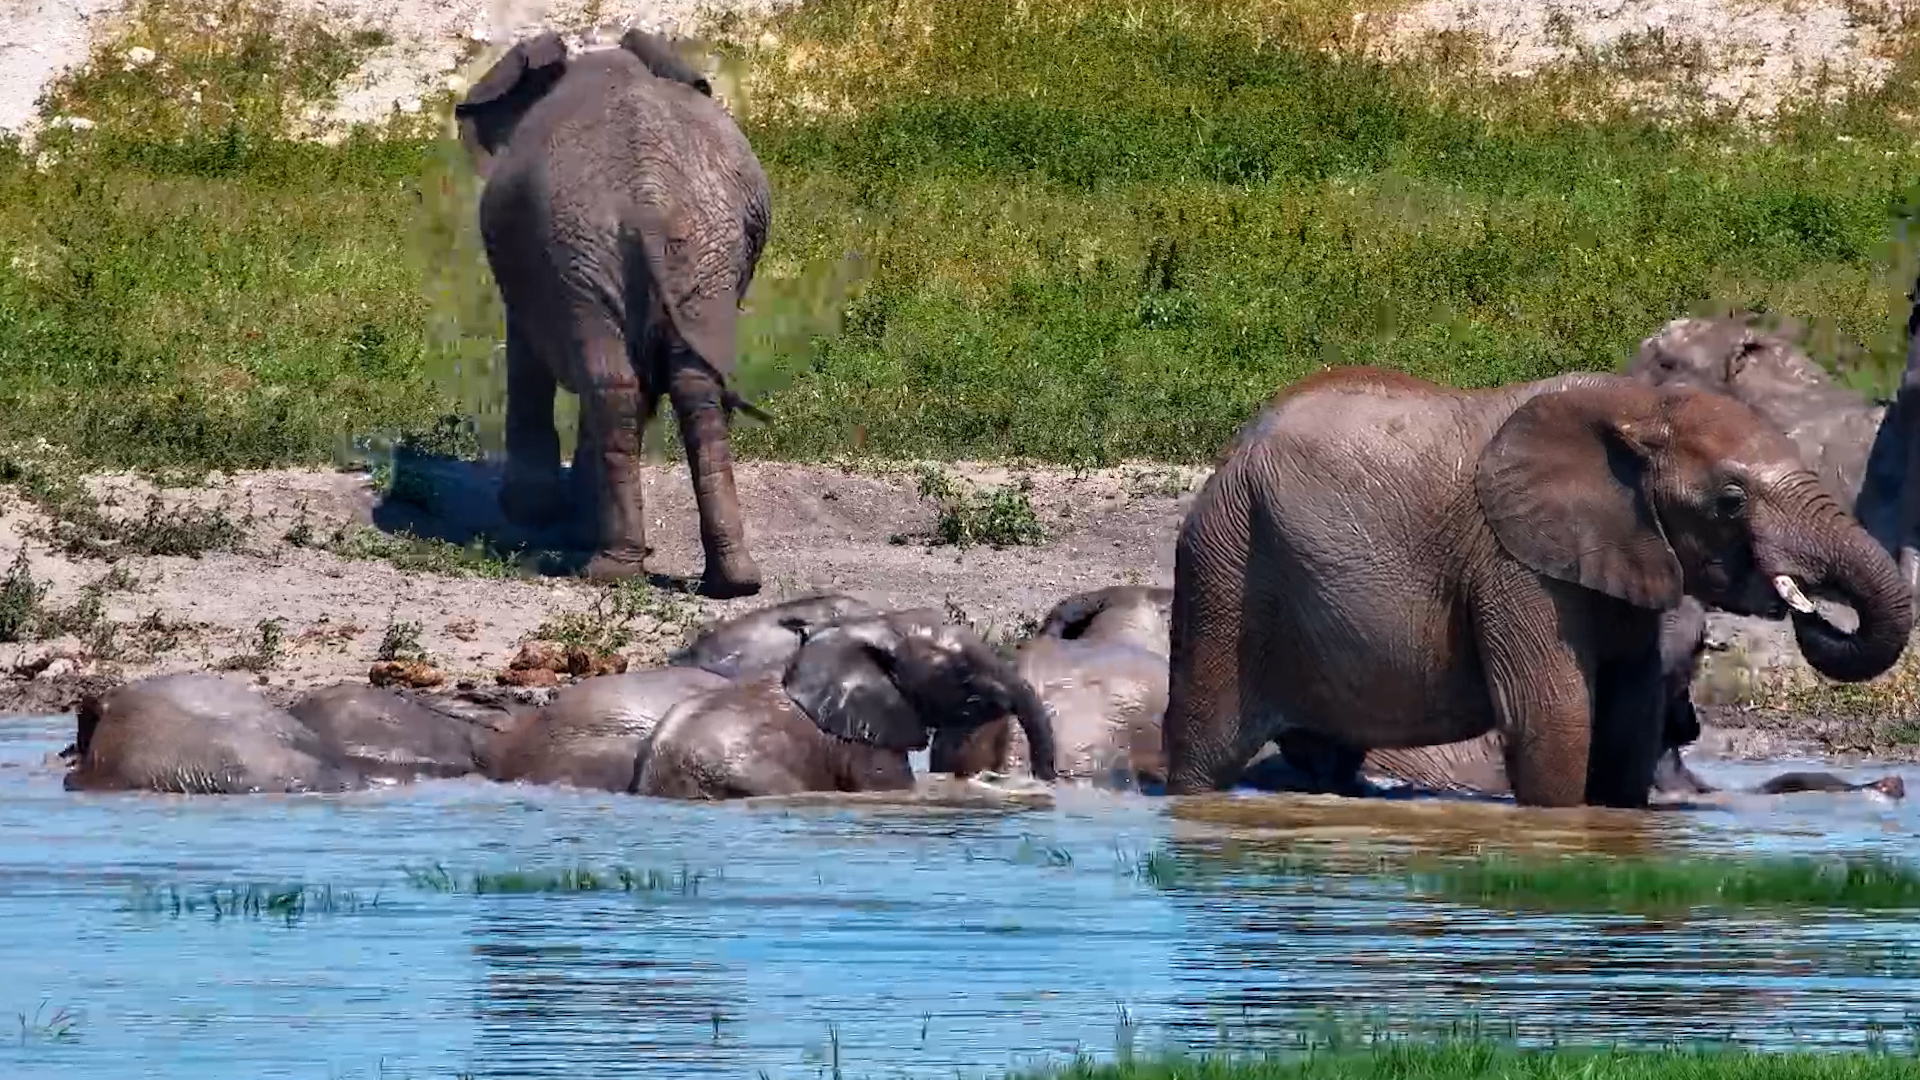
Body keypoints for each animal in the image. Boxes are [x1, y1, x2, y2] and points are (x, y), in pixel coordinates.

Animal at [454, 28, 772, 596]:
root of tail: (648, 203)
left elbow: (527, 357)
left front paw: (531, 513)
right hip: (695, 252)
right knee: (683, 387)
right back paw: (728, 580)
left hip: (589, 248)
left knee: (615, 387)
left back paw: (608, 569)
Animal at [1162, 367, 1916, 808]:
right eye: (1730, 501)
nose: (1809, 606)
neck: (1639, 407)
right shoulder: (1512, 562)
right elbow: (1553, 717)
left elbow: (1628, 717)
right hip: (1226, 560)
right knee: (1206, 747)